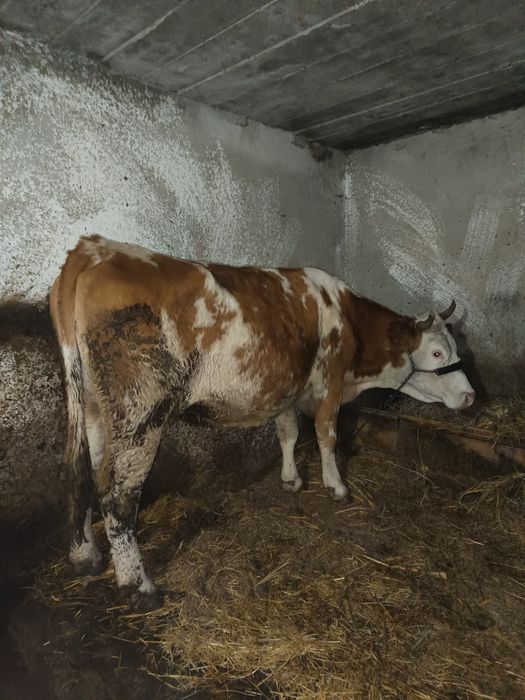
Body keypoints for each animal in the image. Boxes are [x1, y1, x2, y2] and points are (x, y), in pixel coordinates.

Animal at [50, 235, 475, 606]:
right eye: (437, 353)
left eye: (455, 346)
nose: (471, 396)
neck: (347, 319)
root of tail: (96, 247)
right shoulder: (331, 380)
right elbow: (326, 434)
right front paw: (336, 486)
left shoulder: (285, 385)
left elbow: (288, 432)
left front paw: (291, 480)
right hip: (142, 409)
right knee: (118, 496)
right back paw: (139, 587)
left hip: (94, 405)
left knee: (85, 473)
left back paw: (86, 556)